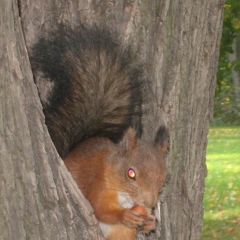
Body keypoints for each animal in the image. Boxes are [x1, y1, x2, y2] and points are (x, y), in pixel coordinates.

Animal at [31, 23, 168, 238]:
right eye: (131, 173)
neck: (125, 197)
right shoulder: (99, 185)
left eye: (164, 177)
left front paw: (151, 222)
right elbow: (99, 208)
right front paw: (125, 216)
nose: (148, 203)